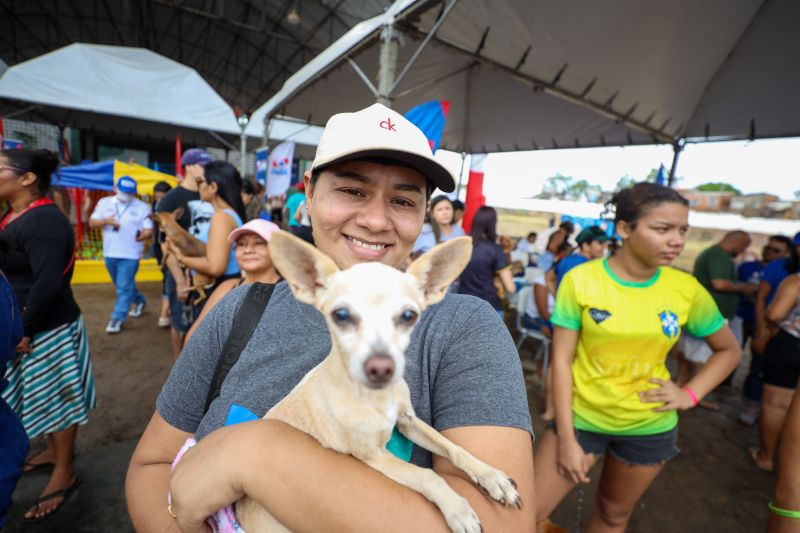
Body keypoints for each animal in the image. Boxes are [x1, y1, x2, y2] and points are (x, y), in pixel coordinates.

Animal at [231, 233, 520, 532]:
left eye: (409, 316)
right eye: (341, 315)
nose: (381, 367)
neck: (376, 398)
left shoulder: (408, 421)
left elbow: (454, 448)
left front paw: (491, 476)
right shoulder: (372, 456)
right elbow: (426, 475)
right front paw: (458, 509)